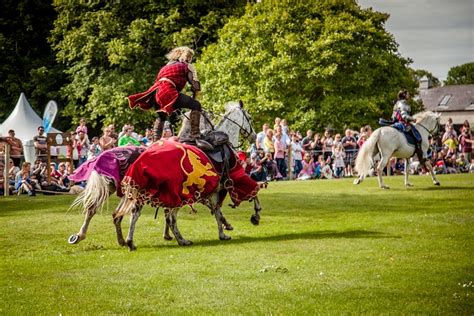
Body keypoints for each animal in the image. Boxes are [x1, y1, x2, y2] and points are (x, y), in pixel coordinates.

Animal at [68, 100, 260, 248]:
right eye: (249, 118)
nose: (254, 136)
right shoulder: (231, 181)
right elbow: (250, 194)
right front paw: (253, 216)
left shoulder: (204, 190)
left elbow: (213, 210)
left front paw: (224, 228)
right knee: (132, 213)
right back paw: (132, 241)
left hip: (118, 189)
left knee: (102, 211)